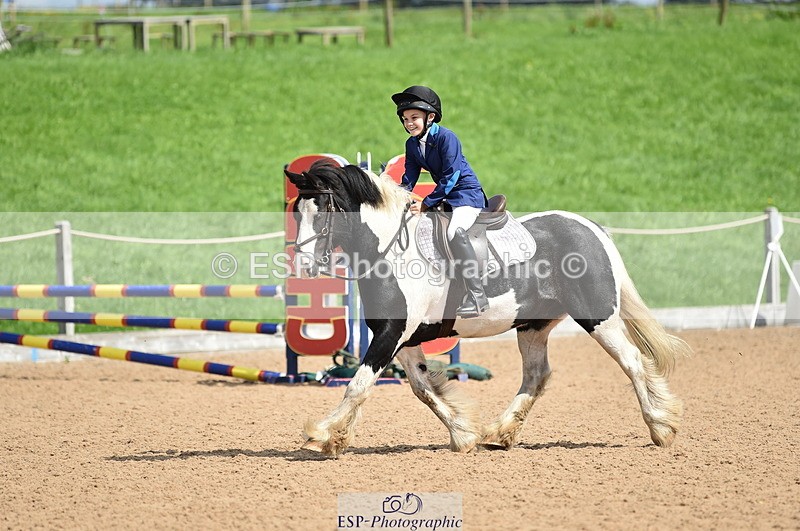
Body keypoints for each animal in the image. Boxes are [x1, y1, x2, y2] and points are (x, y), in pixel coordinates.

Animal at [285, 160, 691, 457]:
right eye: (296, 212)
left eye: (324, 209)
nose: (303, 266)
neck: (391, 250)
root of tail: (590, 227)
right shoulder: (405, 339)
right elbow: (423, 389)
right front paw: (463, 435)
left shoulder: (391, 334)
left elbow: (358, 385)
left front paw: (322, 435)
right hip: (532, 326)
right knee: (536, 375)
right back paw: (501, 432)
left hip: (597, 318)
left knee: (632, 361)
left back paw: (660, 427)